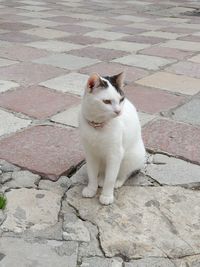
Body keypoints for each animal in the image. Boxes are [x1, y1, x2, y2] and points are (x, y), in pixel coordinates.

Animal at [79, 72, 146, 206]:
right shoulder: (90, 153)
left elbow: (110, 178)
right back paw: (100, 179)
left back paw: (118, 181)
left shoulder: (115, 154)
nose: (118, 111)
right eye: (106, 101)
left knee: (124, 173)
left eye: (121, 100)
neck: (97, 126)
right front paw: (91, 189)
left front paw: (106, 196)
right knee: (102, 172)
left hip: (131, 157)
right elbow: (91, 173)